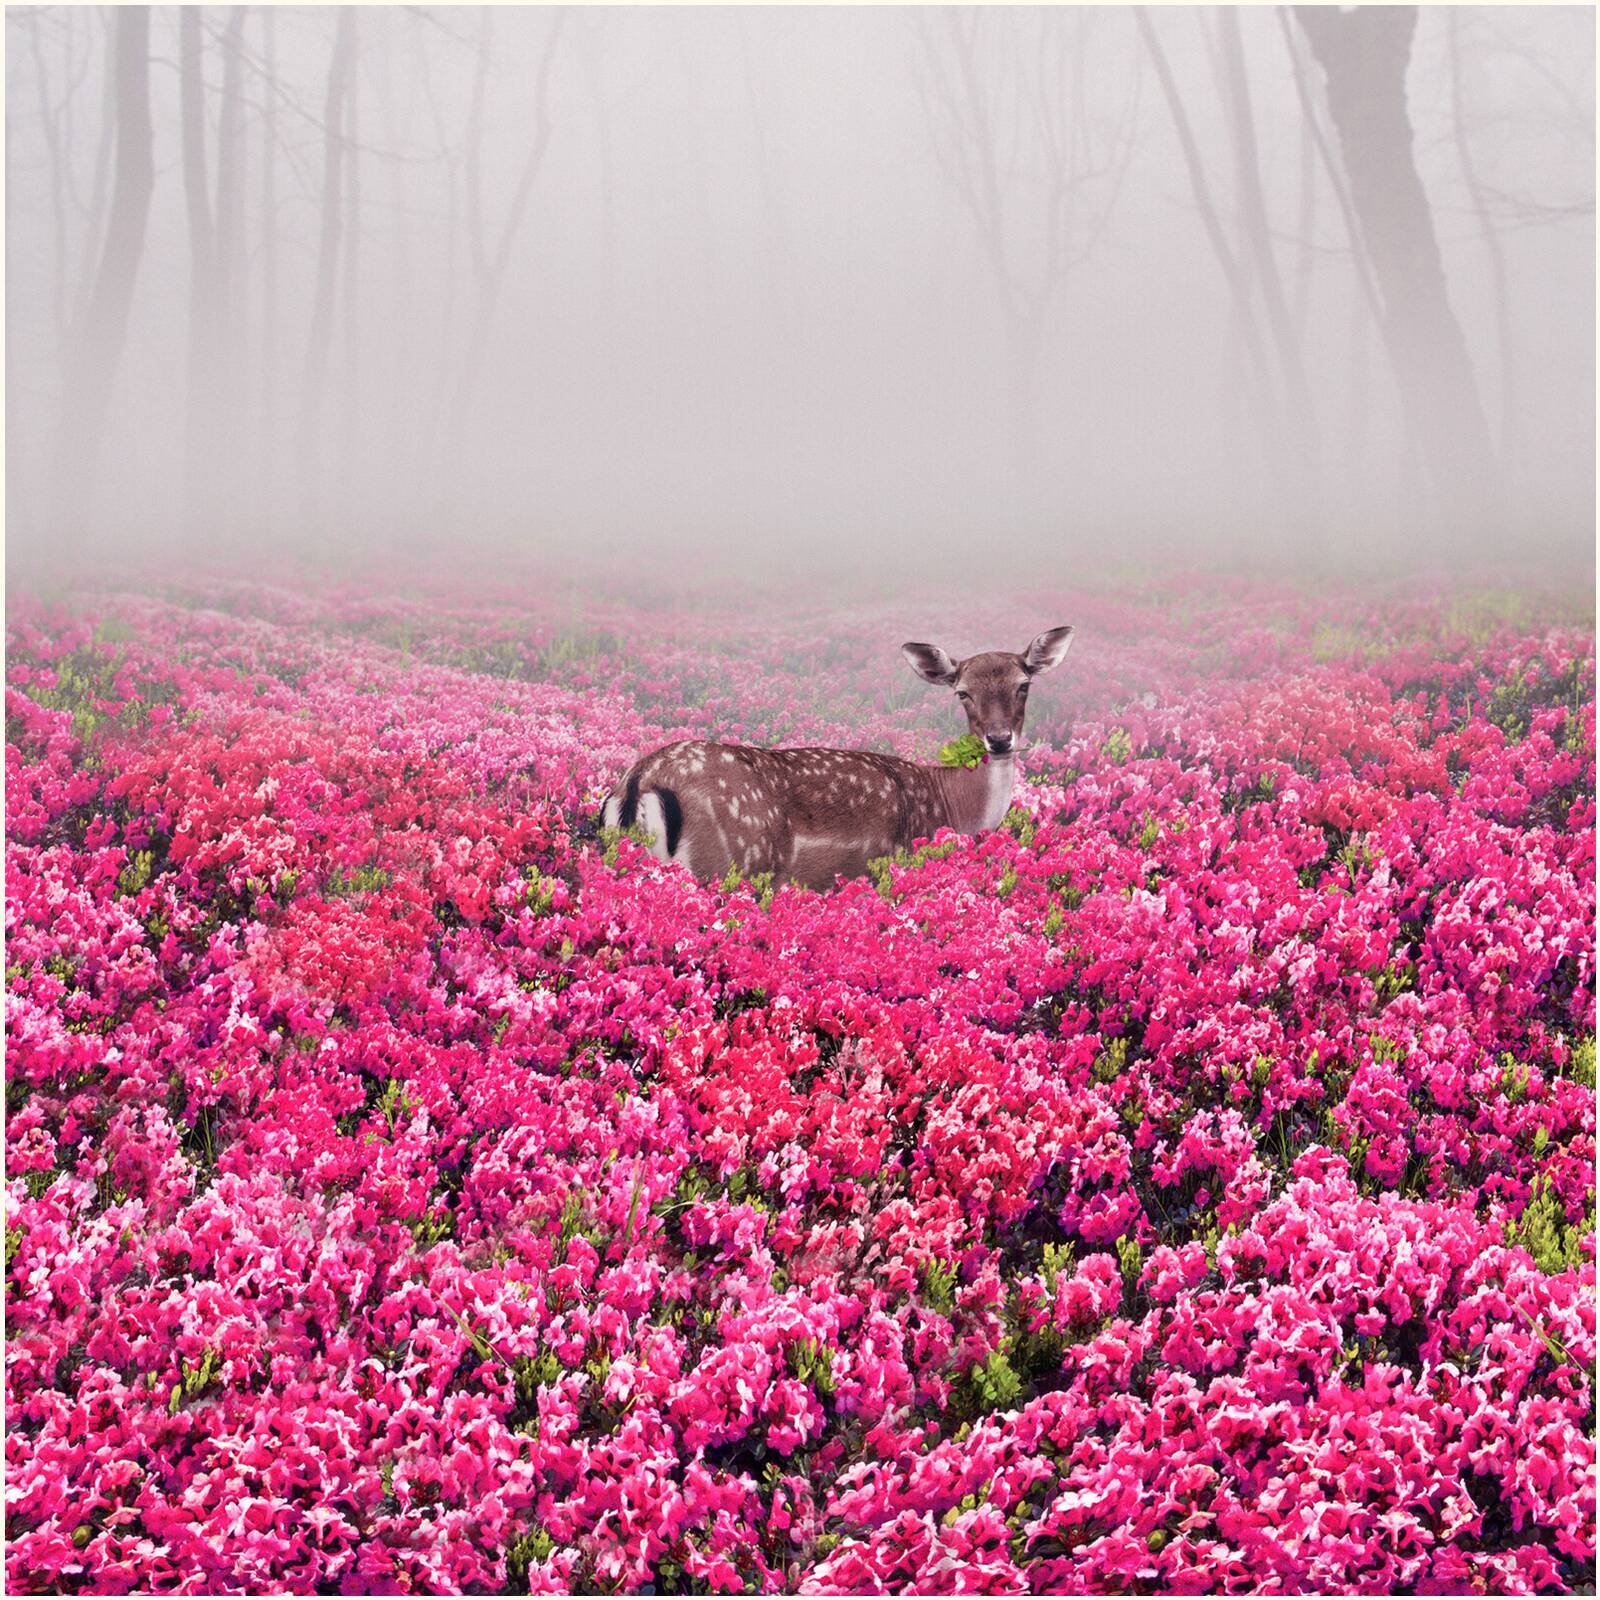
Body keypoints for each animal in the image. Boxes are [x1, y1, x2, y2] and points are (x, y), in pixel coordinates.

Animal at [599, 626, 1074, 892]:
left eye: (1023, 685)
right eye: (963, 692)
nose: (999, 740)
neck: (953, 806)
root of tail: (641, 780)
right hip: (730, 862)